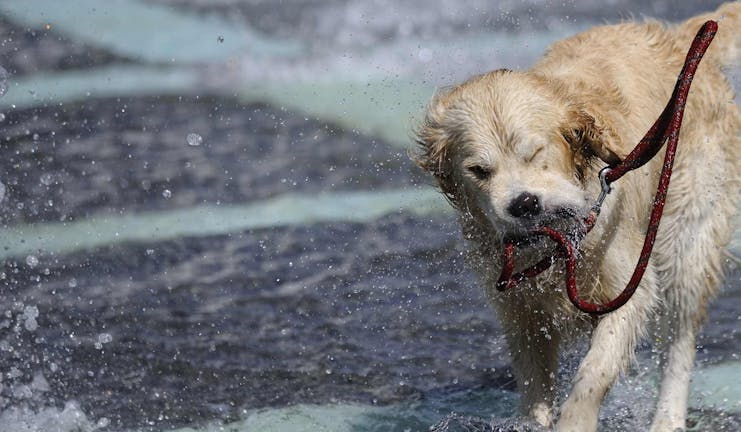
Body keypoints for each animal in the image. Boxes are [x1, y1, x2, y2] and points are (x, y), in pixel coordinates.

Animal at [414, 4, 736, 432]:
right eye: (479, 170)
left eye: (535, 152)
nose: (524, 203)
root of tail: (679, 39)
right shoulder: (520, 311)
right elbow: (533, 385)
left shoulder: (627, 286)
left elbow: (595, 371)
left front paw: (575, 420)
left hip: (687, 239)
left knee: (679, 342)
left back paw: (667, 418)